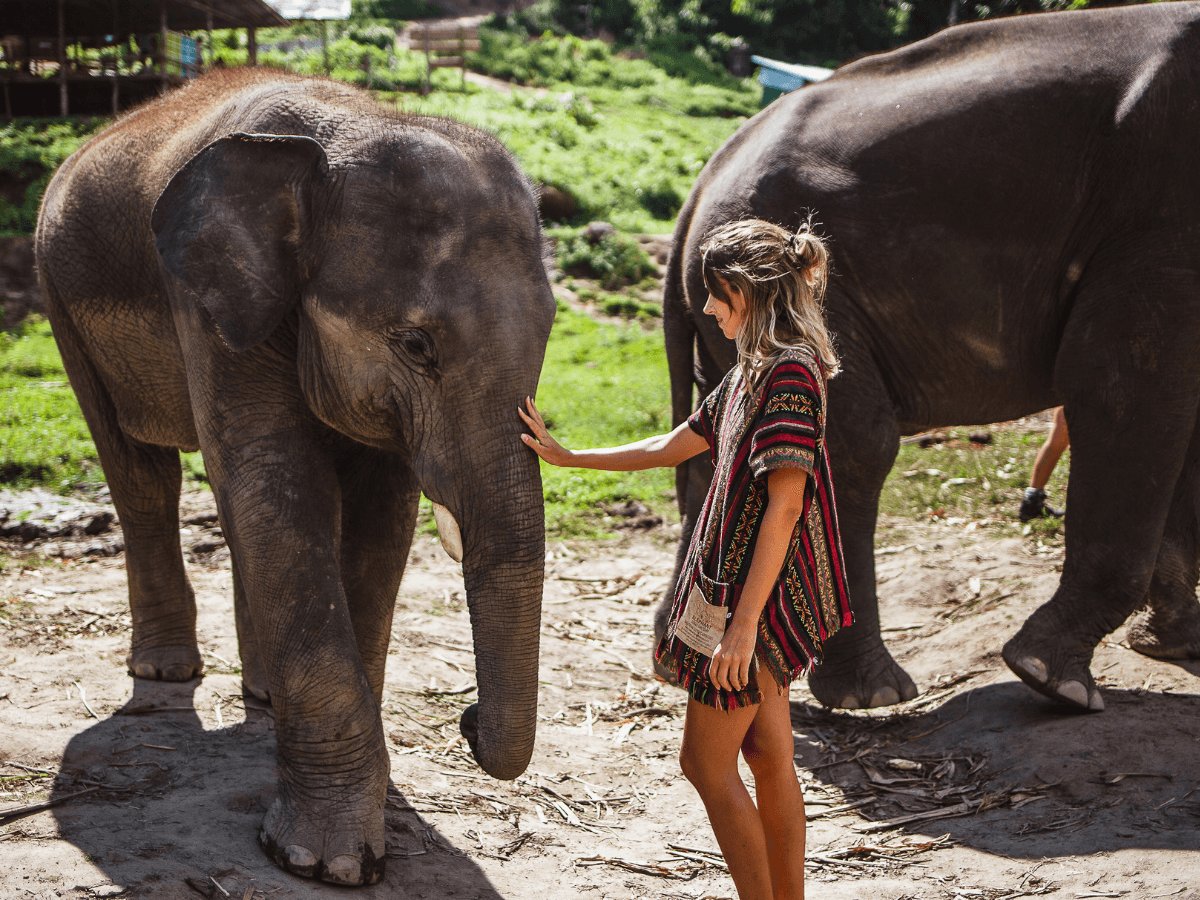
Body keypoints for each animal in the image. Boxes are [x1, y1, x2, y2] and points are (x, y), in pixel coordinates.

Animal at [35, 68, 556, 885]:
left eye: (551, 334)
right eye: (416, 345)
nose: (467, 719)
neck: (348, 127)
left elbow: (378, 520)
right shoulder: (209, 303)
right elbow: (280, 484)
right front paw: (326, 863)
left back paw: (261, 691)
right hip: (60, 298)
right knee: (142, 475)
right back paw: (165, 671)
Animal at [659, 3, 1200, 713]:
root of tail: (698, 187)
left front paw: (1174, 645)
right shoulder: (1160, 212)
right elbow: (1122, 385)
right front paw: (1054, 681)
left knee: (718, 444)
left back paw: (682, 666)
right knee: (854, 442)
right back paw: (871, 694)